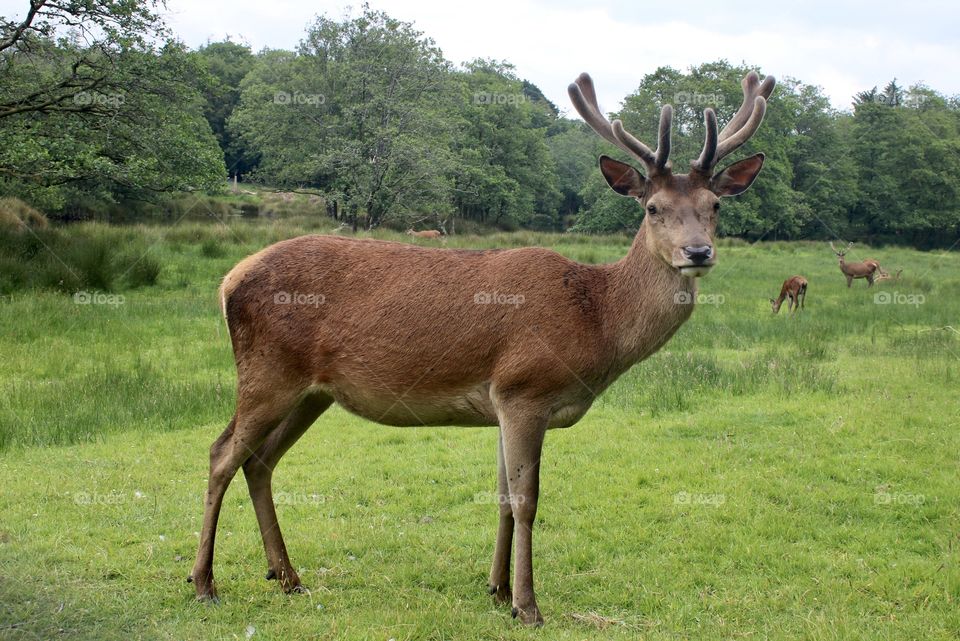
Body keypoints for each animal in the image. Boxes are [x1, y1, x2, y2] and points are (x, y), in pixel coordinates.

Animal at [189, 70, 775, 626]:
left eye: (714, 204)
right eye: (652, 207)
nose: (697, 252)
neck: (597, 321)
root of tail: (227, 281)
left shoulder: (502, 402)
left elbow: (502, 500)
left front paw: (495, 590)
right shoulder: (524, 388)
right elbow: (527, 500)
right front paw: (528, 605)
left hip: (311, 392)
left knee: (259, 461)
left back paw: (287, 576)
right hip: (267, 372)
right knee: (221, 454)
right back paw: (204, 583)